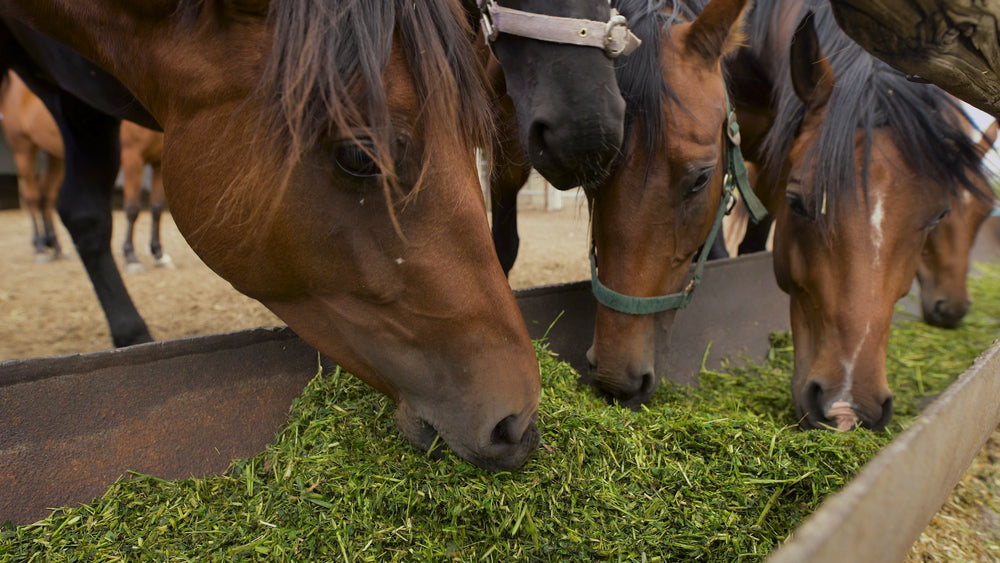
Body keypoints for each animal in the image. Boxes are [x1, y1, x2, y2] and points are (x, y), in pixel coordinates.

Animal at [0, 70, 64, 261]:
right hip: (23, 147)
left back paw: (53, 243)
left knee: (46, 193)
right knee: (31, 195)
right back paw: (40, 245)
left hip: (54, 153)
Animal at [119, 121, 169, 273]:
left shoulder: (159, 162)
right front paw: (131, 256)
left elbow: (157, 209)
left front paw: (158, 253)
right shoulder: (132, 158)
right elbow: (132, 210)